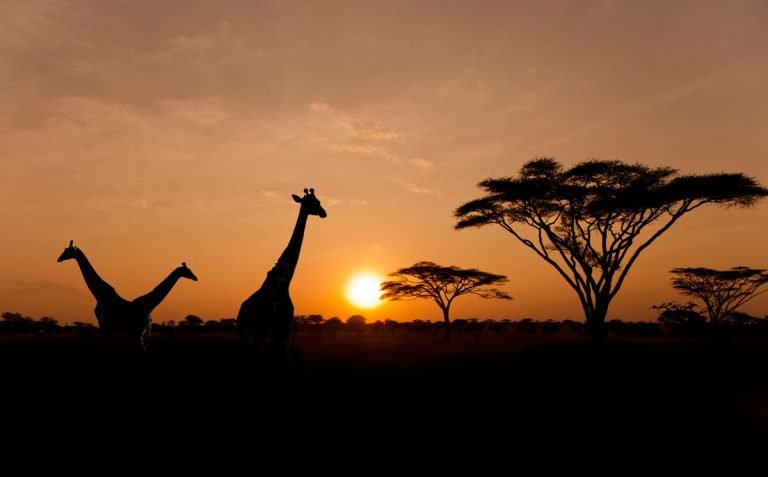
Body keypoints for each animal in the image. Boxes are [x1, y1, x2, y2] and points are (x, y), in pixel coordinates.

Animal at [59, 240, 200, 352]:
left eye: (67, 251)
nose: (58, 258)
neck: (100, 294)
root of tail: (149, 318)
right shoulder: (109, 328)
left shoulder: (109, 327)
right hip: (142, 333)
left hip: (138, 333)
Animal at [237, 187, 328, 360]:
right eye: (313, 203)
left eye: (318, 201)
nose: (324, 213)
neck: (283, 283)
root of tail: (240, 314)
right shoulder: (276, 334)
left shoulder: (282, 335)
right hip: (252, 338)